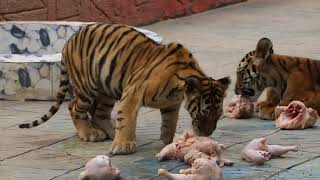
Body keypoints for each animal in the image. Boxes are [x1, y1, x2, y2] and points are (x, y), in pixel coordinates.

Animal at [18, 23, 230, 154]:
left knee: (99, 113)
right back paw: (90, 134)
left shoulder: (171, 104)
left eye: (218, 115)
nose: (207, 135)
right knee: (75, 108)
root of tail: (69, 41)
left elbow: (169, 122)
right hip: (87, 87)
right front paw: (123, 146)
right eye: (203, 114)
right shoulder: (132, 93)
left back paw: (110, 132)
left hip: (107, 89)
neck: (179, 89)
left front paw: (169, 141)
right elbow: (127, 119)